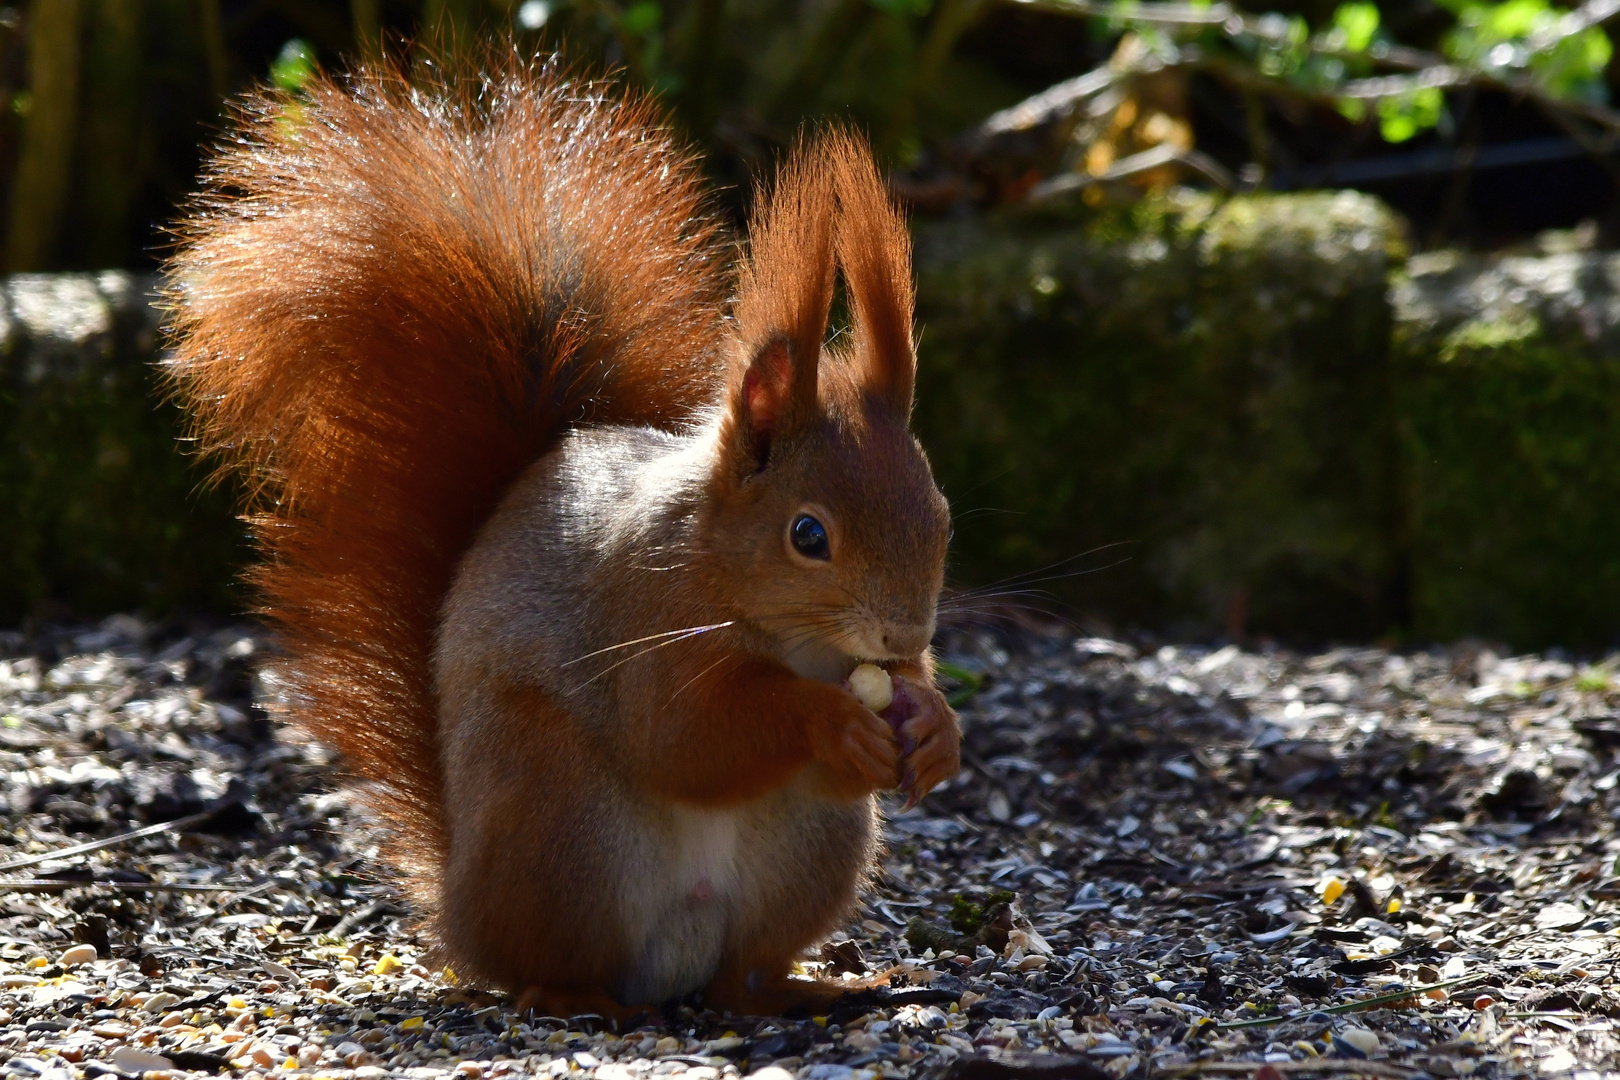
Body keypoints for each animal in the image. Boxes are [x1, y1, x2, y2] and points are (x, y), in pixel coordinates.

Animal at [169, 57, 959, 1023]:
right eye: (808, 534)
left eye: (941, 513)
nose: (905, 637)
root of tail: (461, 907)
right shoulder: (643, 613)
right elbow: (681, 736)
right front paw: (832, 721)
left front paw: (935, 724)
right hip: (559, 822)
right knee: (543, 965)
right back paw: (580, 997)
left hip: (810, 848)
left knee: (742, 979)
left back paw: (811, 987)